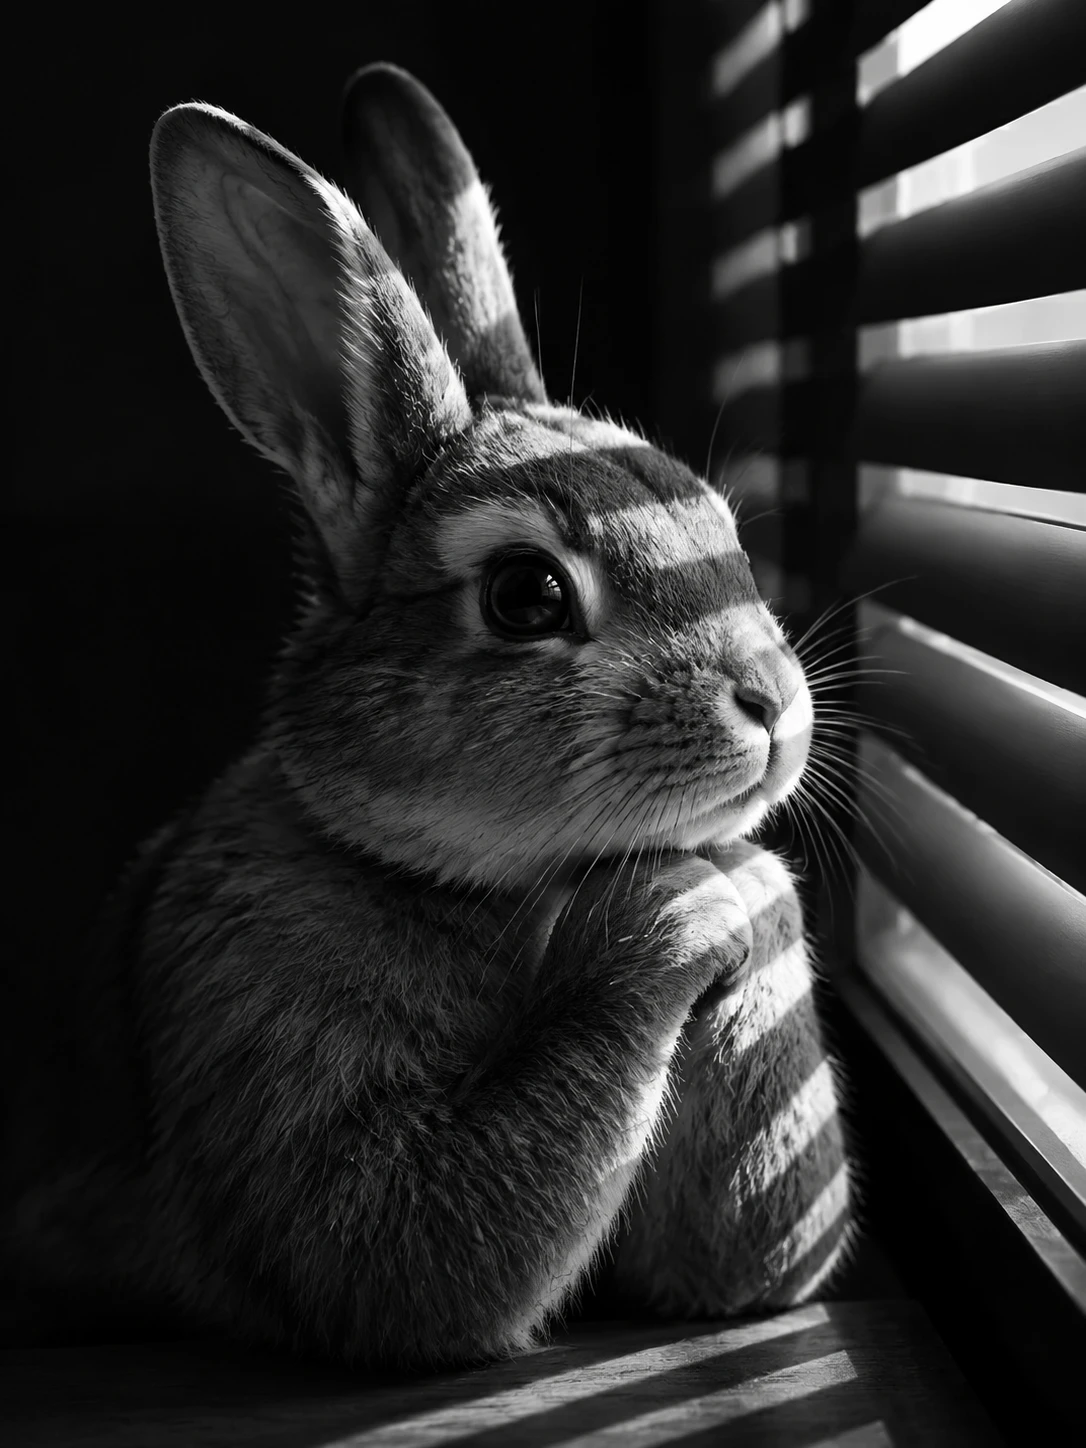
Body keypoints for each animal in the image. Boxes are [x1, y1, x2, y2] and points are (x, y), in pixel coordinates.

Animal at [1, 63, 854, 1368]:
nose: (771, 705)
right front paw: (692, 903)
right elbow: (410, 1256)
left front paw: (749, 887)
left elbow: (749, 1265)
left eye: (717, 520)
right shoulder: (267, 1038)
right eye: (527, 594)